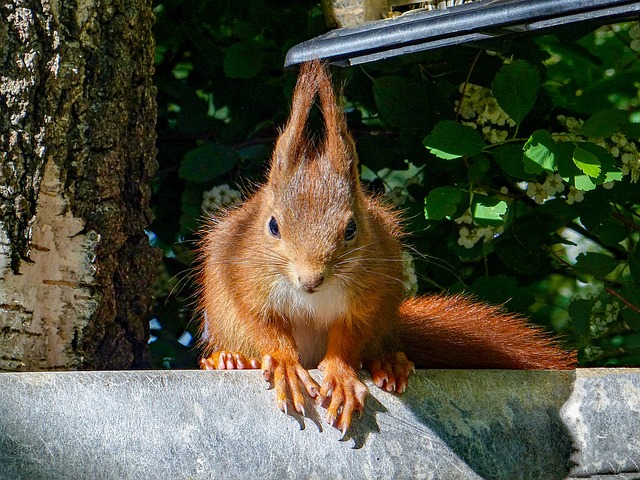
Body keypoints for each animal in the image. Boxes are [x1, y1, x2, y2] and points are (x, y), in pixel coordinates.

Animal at [196, 58, 576, 434]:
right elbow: (263, 325)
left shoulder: (370, 293)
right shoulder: (243, 274)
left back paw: (388, 362)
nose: (310, 280)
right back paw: (229, 360)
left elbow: (348, 338)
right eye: (272, 225)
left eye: (351, 228)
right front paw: (287, 366)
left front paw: (341, 377)